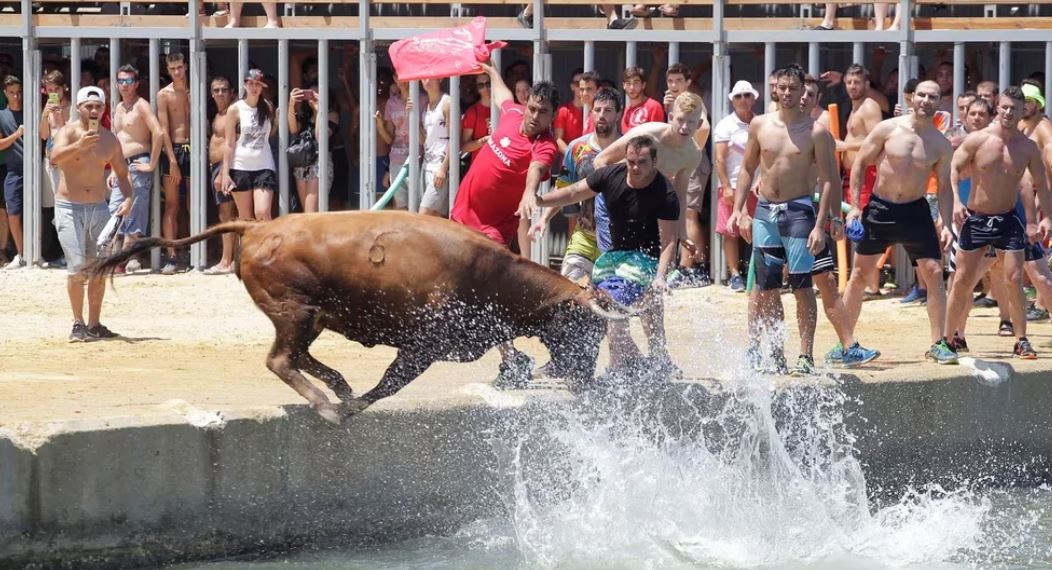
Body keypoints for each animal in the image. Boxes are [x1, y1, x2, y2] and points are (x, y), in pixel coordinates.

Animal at [86, 213, 618, 424]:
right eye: (586, 327)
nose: (587, 377)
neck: (491, 273)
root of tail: (258, 226)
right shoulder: (423, 346)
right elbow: (388, 384)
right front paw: (350, 407)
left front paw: (349, 399)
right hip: (296, 312)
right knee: (281, 360)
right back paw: (327, 405)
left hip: (311, 317)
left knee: (296, 356)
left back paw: (336, 388)